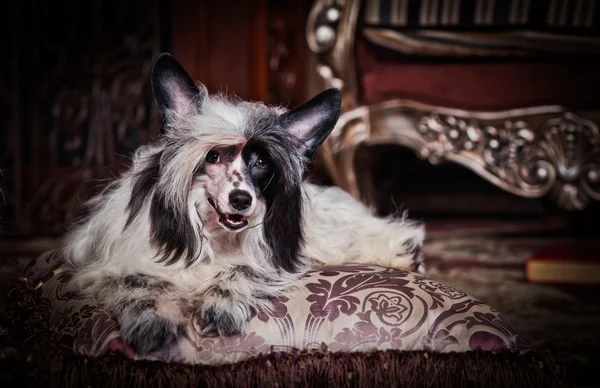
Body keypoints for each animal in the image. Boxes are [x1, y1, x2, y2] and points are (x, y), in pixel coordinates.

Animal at [63, 53, 424, 356]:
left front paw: (222, 305)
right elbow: (140, 282)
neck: (213, 233)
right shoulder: (110, 265)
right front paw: (152, 322)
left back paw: (403, 250)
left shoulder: (271, 258)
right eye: (213, 156)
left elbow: (241, 269)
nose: (241, 200)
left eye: (262, 161)